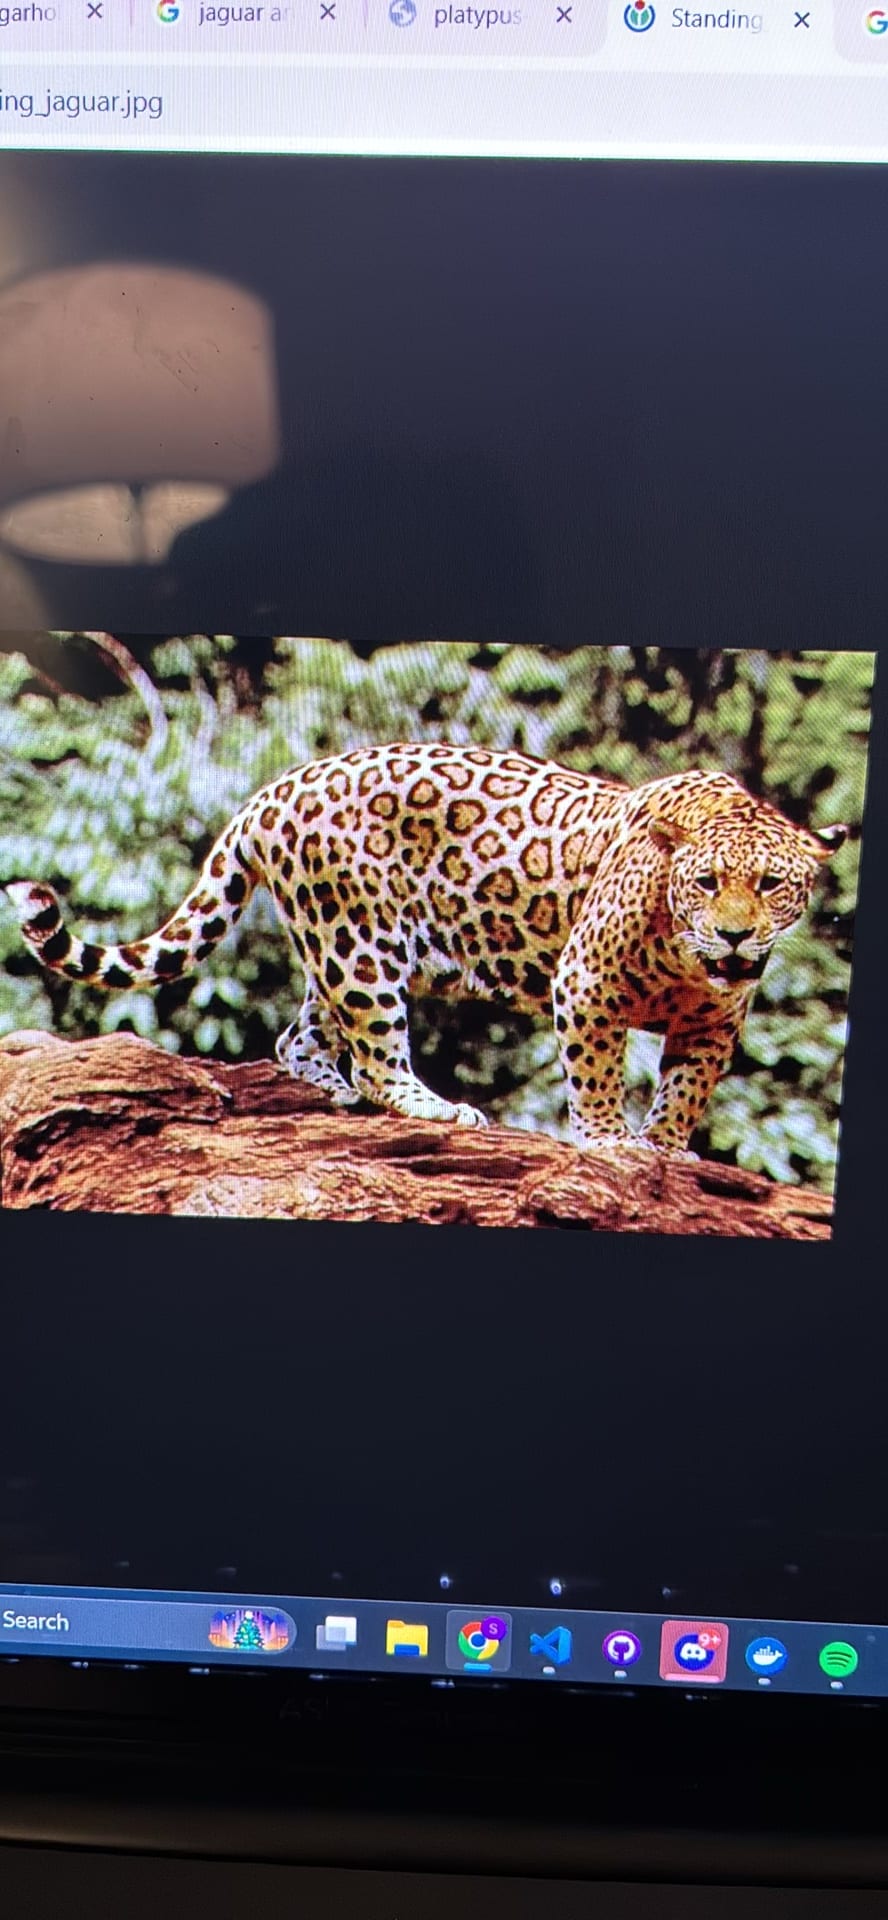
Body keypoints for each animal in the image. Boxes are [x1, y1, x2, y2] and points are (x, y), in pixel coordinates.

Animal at [5, 742, 847, 1153]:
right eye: (705, 882)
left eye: (771, 884)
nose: (735, 933)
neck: (688, 957)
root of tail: (272, 791)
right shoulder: (587, 982)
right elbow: (599, 1073)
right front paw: (614, 1141)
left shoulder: (714, 1022)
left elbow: (688, 1089)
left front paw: (667, 1146)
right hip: (361, 946)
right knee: (376, 1056)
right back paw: (437, 1108)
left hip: (340, 945)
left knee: (299, 1034)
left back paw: (333, 1090)